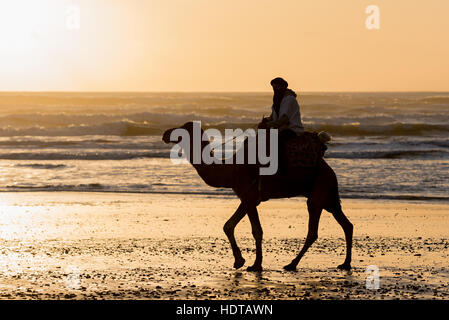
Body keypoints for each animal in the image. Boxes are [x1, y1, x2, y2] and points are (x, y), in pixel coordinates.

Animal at [162, 121, 354, 272]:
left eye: (183, 128)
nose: (165, 133)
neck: (229, 169)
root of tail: (330, 171)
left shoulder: (249, 196)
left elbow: (246, 229)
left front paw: (250, 263)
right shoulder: (247, 198)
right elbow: (240, 227)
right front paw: (245, 262)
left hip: (319, 191)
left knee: (313, 230)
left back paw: (292, 264)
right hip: (329, 197)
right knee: (347, 225)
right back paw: (345, 264)